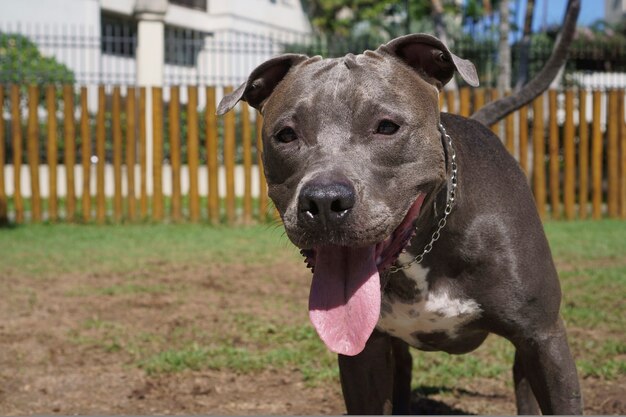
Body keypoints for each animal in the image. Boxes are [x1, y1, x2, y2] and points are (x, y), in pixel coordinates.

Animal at [218, 34, 580, 414]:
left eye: (386, 127)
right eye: (286, 135)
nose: (324, 200)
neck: (423, 249)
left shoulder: (544, 339)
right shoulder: (365, 353)